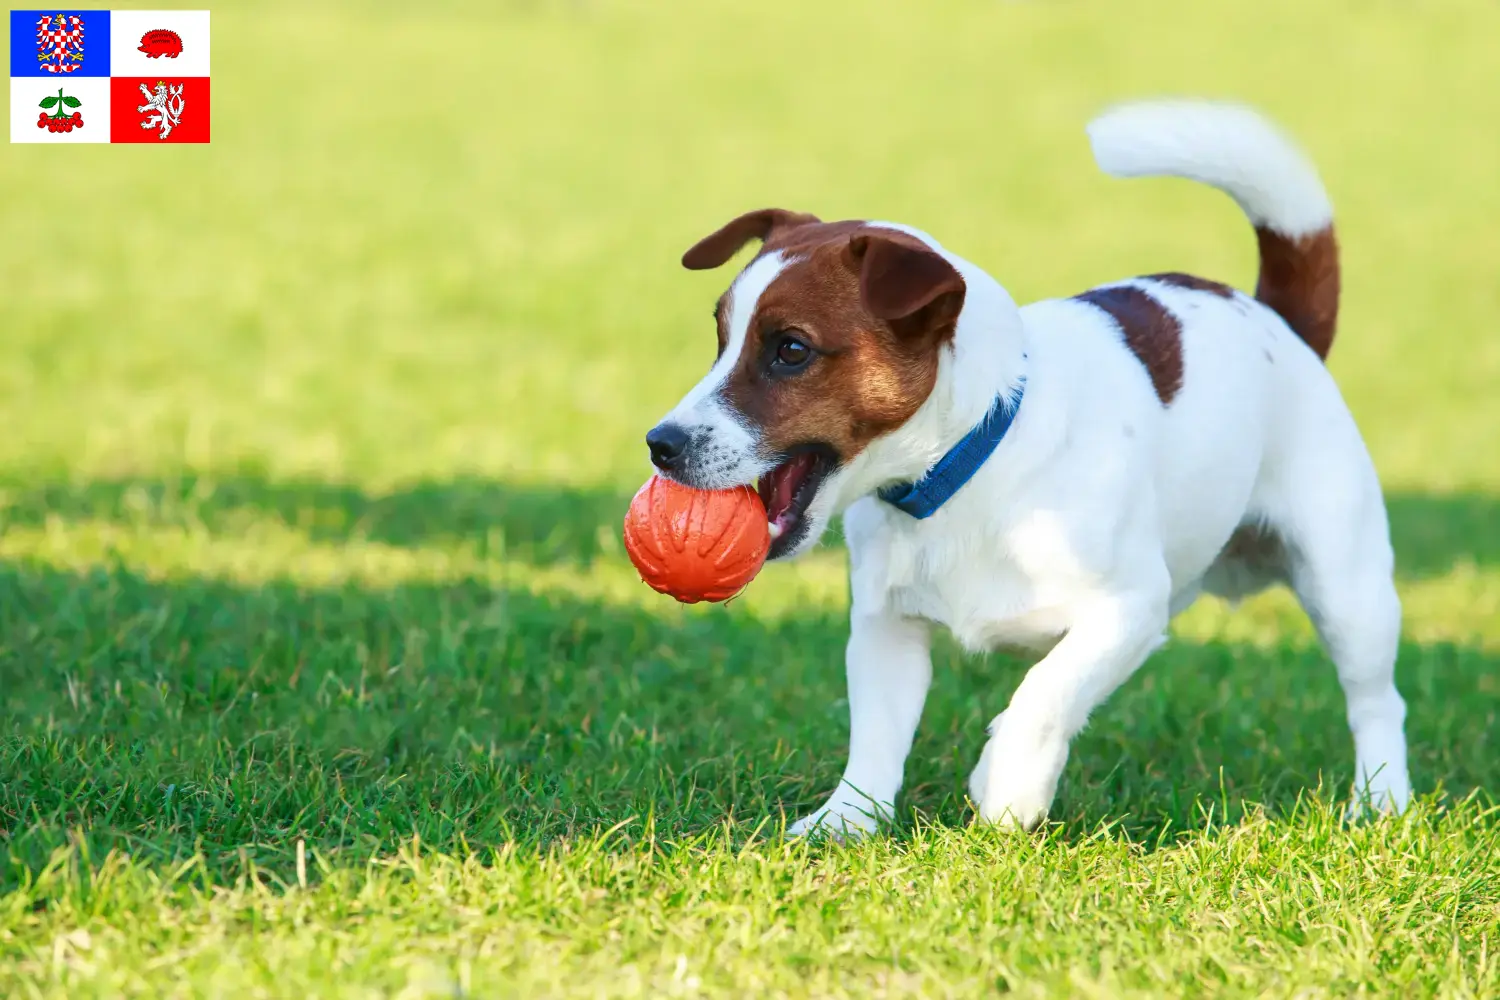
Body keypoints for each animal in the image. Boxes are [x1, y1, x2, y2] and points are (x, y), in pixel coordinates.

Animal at [642, 101, 1404, 839]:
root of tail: (1275, 318)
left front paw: (1008, 783)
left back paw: (1381, 802)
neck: (965, 469)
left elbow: (1046, 690)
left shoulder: (1130, 608)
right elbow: (876, 736)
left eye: (792, 350)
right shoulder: (886, 626)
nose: (660, 443)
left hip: (1347, 586)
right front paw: (846, 820)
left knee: (1377, 700)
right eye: (721, 339)